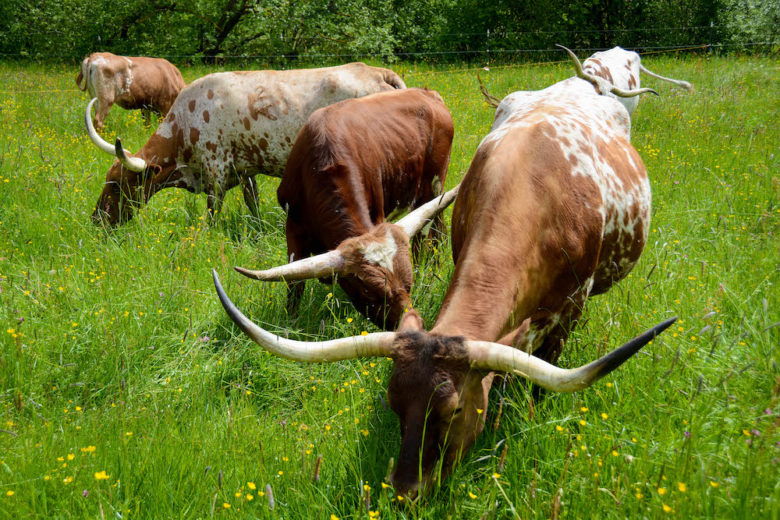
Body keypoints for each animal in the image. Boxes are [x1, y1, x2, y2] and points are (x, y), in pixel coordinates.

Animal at [87, 62, 408, 225]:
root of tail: (377, 72)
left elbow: (212, 212)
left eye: (118, 185)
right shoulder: (245, 171)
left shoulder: (215, 168)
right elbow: (252, 204)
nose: (96, 219)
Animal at [232, 87, 458, 328]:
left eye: (408, 285)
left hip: (433, 187)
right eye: (370, 293)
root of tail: (427, 92)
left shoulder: (376, 215)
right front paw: (290, 325)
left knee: (429, 238)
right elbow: (294, 285)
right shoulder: (293, 225)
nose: (411, 326)